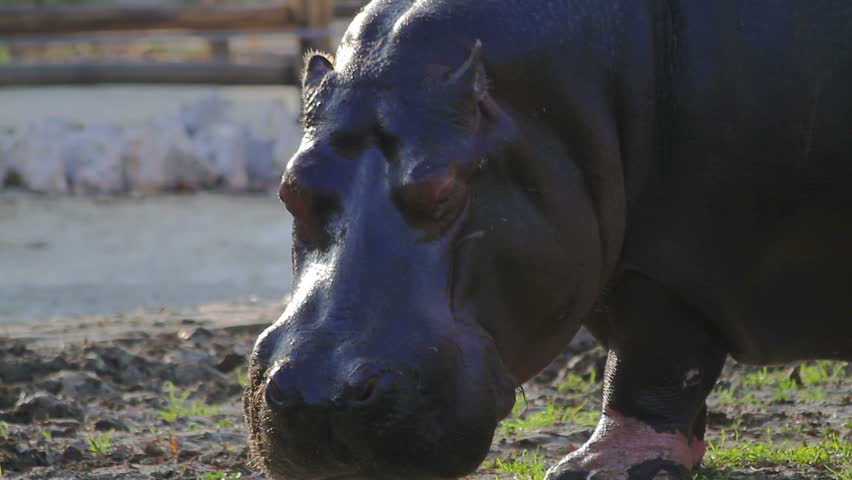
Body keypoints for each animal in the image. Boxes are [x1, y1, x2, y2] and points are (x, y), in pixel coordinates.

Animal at [243, 1, 852, 479]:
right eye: (289, 188)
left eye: (445, 189)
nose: (315, 395)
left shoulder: (672, 261)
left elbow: (650, 356)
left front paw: (595, 470)